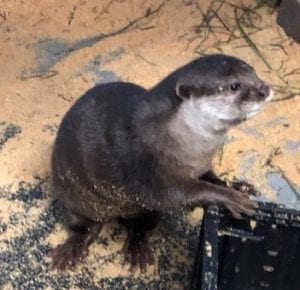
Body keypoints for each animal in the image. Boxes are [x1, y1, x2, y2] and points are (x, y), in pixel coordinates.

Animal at [51, 53, 272, 272]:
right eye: (234, 86)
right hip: (73, 196)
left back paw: (137, 248)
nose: (265, 89)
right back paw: (73, 249)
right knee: (87, 226)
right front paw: (229, 197)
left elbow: (210, 177)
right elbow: (179, 194)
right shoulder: (148, 171)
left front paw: (238, 186)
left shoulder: (202, 164)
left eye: (254, 72)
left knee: (141, 227)